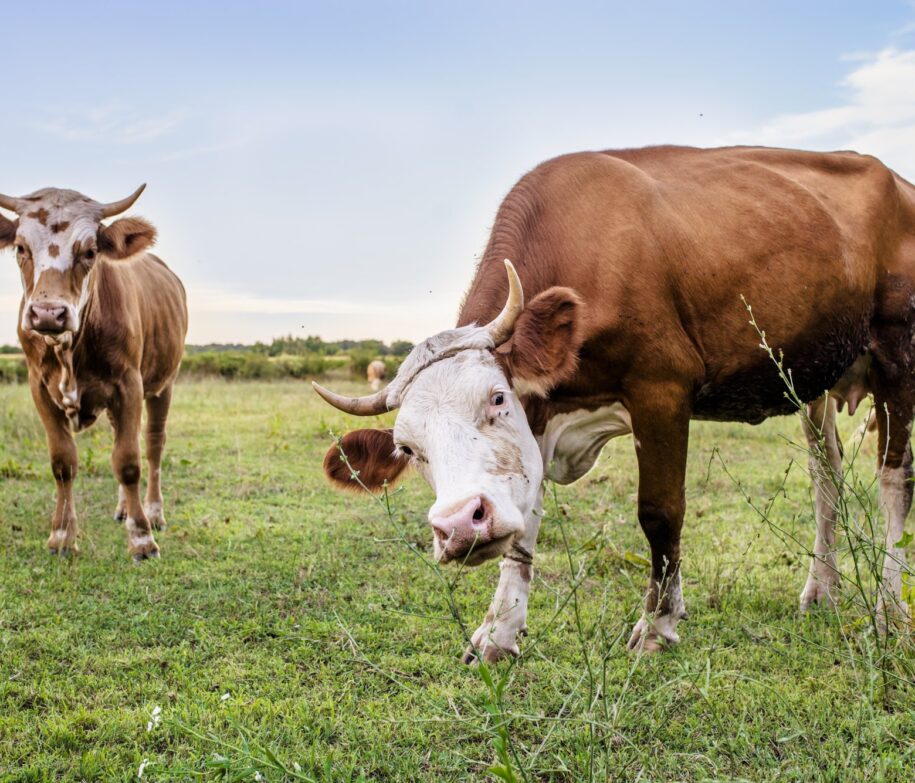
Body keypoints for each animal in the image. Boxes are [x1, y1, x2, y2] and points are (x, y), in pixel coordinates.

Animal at [0, 185, 187, 561]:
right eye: (21, 248)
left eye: (89, 251)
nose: (48, 313)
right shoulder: (39, 388)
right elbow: (63, 462)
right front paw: (61, 535)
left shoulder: (129, 385)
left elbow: (128, 461)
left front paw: (142, 539)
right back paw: (125, 509)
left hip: (164, 384)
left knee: (153, 445)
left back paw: (152, 512)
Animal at [313, 145, 915, 662]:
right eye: (408, 449)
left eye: (497, 398)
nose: (460, 526)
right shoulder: (542, 418)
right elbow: (524, 522)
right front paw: (500, 630)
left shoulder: (661, 388)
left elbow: (660, 512)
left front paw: (658, 623)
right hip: (816, 378)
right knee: (826, 477)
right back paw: (821, 589)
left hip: (897, 357)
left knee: (893, 481)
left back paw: (888, 608)